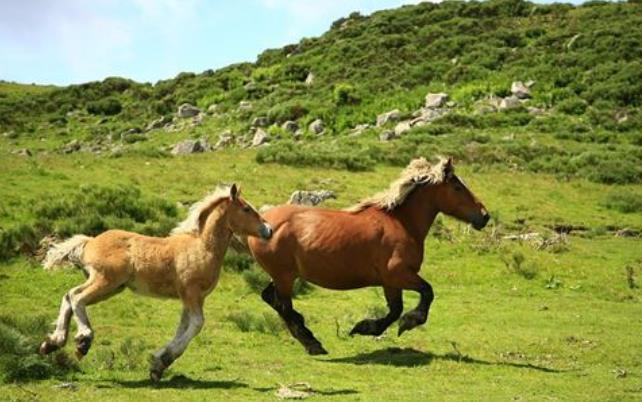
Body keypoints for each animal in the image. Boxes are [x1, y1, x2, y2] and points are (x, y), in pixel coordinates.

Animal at [39, 185, 270, 380]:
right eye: (246, 208)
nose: (267, 230)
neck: (202, 247)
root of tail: (90, 242)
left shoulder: (191, 298)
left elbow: (183, 327)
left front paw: (158, 365)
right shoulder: (192, 293)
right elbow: (197, 324)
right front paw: (162, 361)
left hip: (112, 287)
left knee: (69, 296)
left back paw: (52, 343)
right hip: (106, 281)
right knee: (76, 297)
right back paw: (83, 340)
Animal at [248, 158, 488, 354]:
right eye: (457, 187)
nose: (484, 216)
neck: (402, 223)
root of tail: (264, 223)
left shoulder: (390, 282)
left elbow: (395, 309)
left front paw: (366, 327)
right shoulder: (398, 274)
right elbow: (426, 293)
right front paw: (408, 322)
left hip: (282, 276)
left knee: (271, 299)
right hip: (284, 276)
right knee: (284, 306)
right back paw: (312, 343)